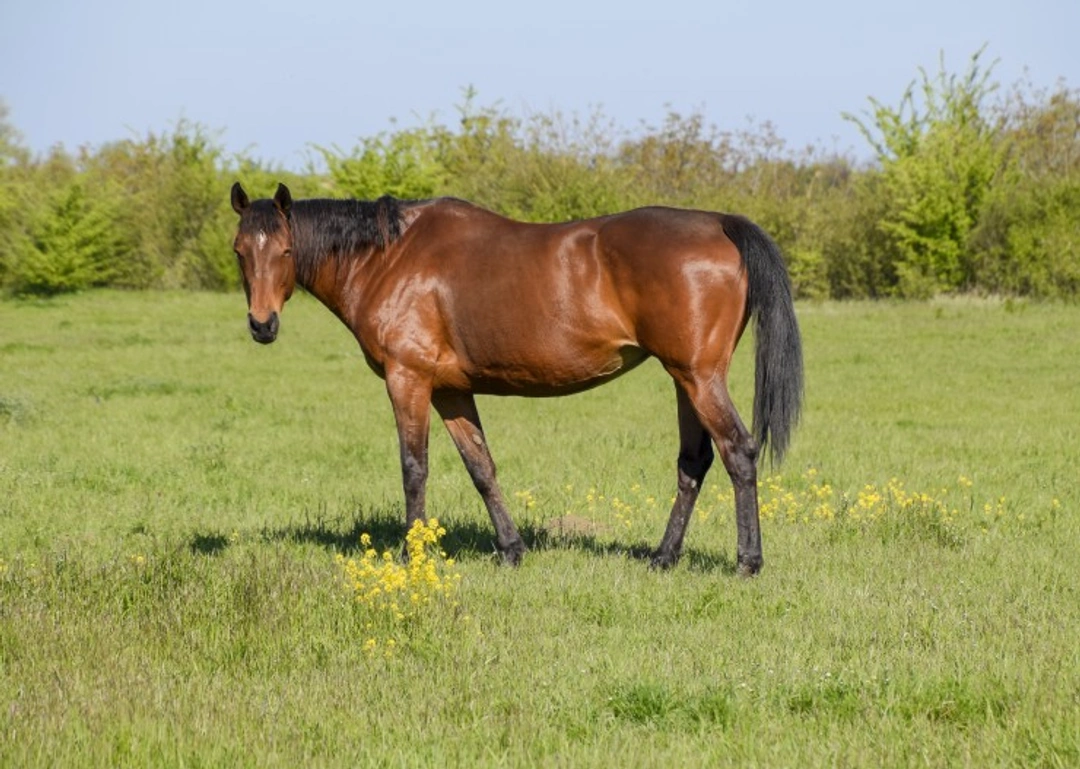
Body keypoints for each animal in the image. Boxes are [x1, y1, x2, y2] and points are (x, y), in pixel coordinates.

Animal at [230, 182, 802, 575]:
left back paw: (747, 560)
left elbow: (414, 468)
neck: (390, 258)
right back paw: (663, 556)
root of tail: (719, 223)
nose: (262, 324)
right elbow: (481, 467)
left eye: (284, 250)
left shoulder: (407, 379)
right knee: (694, 462)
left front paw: (411, 554)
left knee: (738, 452)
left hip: (700, 378)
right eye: (240, 250)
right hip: (686, 380)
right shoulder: (451, 390)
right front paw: (510, 549)